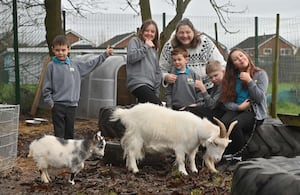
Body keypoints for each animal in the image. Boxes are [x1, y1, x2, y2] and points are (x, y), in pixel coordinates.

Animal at [109, 103, 237, 175]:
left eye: (226, 145)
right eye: (216, 143)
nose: (217, 160)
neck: (196, 129)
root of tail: (126, 113)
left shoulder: (192, 148)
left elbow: (192, 158)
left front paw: (194, 170)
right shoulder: (179, 147)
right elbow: (181, 159)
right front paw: (183, 172)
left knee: (129, 152)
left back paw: (130, 168)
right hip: (136, 137)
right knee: (131, 153)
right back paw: (135, 170)